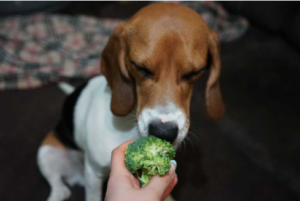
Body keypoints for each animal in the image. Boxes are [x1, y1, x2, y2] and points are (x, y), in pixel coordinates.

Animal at [37, 3, 224, 201]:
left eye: (194, 73)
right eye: (141, 68)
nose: (163, 132)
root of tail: (77, 177)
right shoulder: (93, 174)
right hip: (46, 153)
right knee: (59, 188)